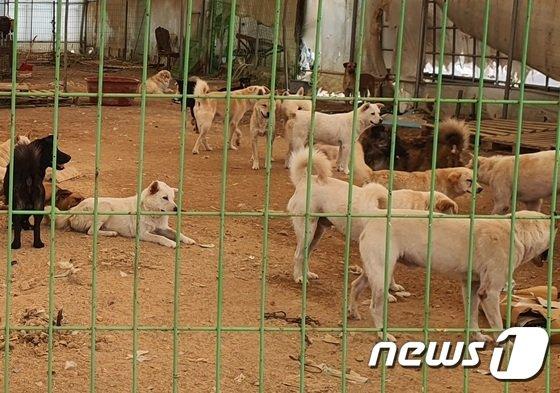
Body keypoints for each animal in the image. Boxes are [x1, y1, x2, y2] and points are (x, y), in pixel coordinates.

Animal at [54, 179, 195, 247]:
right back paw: (111, 233)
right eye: (165, 198)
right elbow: (159, 237)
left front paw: (188, 239)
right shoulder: (142, 234)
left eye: (173, 198)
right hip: (105, 207)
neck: (150, 212)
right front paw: (170, 243)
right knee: (91, 231)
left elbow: (177, 233)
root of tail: (74, 209)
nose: (177, 209)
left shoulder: (162, 228)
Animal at [356, 210, 548, 342]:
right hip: (382, 276)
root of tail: (372, 220)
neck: (517, 233)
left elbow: (472, 316)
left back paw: (353, 312)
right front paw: (505, 345)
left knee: (355, 285)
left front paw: (477, 337)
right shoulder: (490, 293)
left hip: (373, 272)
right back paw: (383, 334)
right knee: (374, 307)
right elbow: (498, 326)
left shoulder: (472, 286)